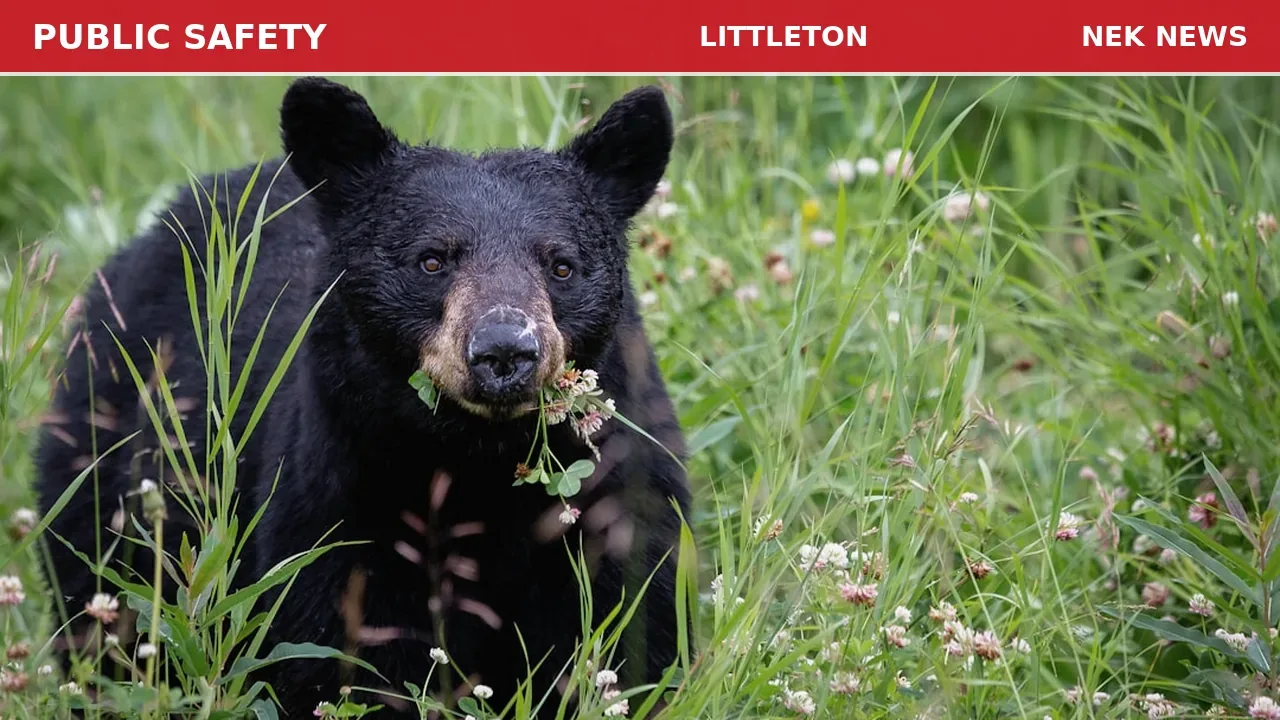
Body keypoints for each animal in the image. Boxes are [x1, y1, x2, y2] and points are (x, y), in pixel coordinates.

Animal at [35, 77, 691, 717]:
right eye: (431, 260)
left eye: (561, 266)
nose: (505, 350)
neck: (478, 462)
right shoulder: (338, 499)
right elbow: (336, 654)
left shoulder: (618, 495)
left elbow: (635, 630)